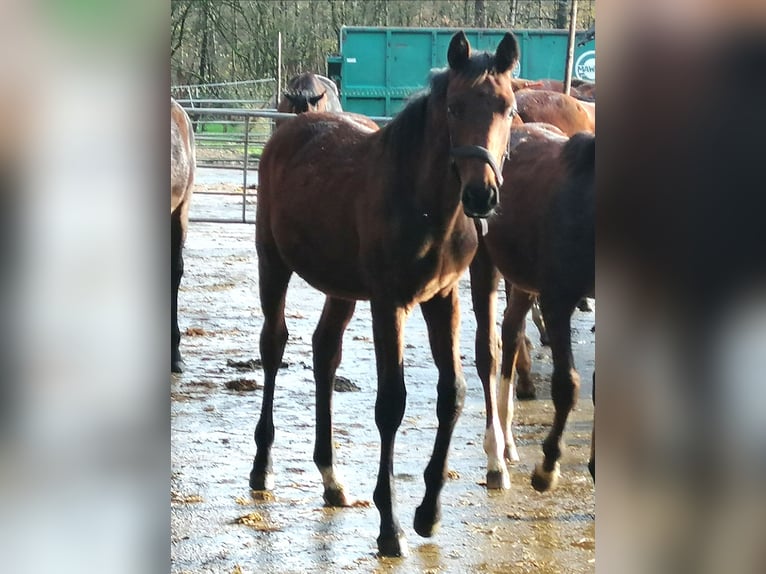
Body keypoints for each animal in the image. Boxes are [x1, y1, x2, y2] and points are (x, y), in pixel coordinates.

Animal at [252, 31, 520, 560]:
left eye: (508, 106)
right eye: (454, 107)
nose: (482, 197)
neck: (425, 205)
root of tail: (293, 127)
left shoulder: (442, 299)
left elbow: (452, 394)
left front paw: (428, 513)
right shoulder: (389, 303)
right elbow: (391, 403)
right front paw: (389, 525)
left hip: (341, 287)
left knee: (325, 351)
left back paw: (331, 479)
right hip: (273, 264)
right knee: (273, 346)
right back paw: (262, 467)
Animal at [472, 125, 596, 490]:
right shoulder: (557, 300)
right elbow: (567, 385)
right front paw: (547, 466)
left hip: (525, 280)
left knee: (511, 331)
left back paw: (508, 442)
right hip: (484, 262)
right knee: (489, 350)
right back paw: (496, 457)